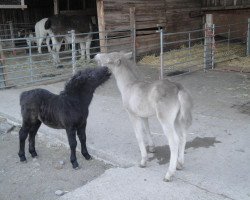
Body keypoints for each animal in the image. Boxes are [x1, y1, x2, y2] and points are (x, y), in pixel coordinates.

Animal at [95, 52, 193, 181]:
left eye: (108, 58)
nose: (96, 55)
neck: (129, 85)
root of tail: (178, 88)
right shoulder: (143, 115)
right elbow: (147, 130)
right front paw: (152, 148)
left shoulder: (133, 115)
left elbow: (139, 136)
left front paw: (143, 161)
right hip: (177, 119)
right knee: (183, 137)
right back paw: (180, 164)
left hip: (166, 120)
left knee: (174, 141)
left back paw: (169, 174)